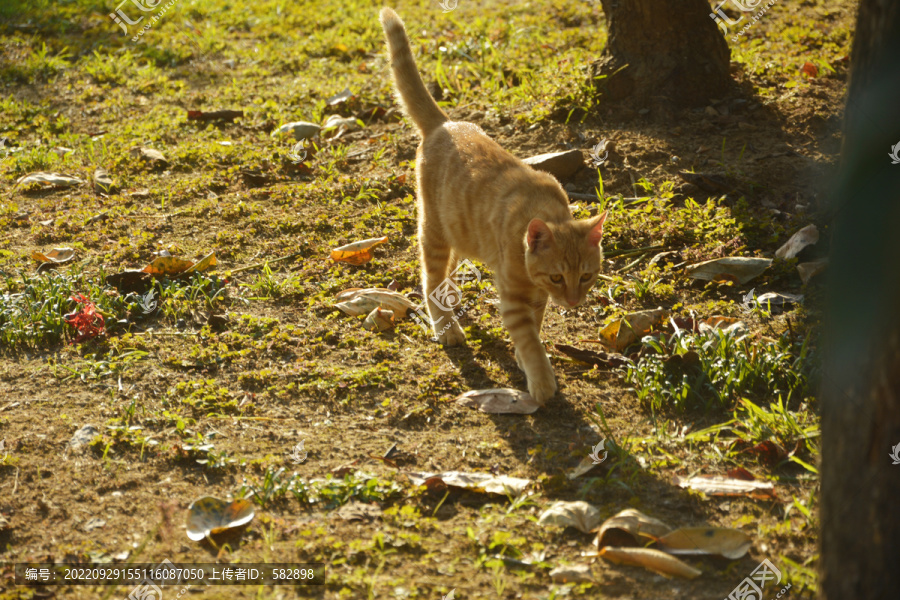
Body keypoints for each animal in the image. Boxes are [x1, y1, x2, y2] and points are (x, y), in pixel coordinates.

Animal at [380, 8, 604, 404]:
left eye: (586, 277)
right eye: (558, 277)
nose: (574, 302)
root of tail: (444, 123)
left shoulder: (536, 299)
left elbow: (536, 328)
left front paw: (525, 361)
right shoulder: (514, 298)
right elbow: (530, 339)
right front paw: (541, 381)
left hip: (458, 229)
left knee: (448, 271)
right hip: (433, 231)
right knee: (430, 279)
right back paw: (446, 325)